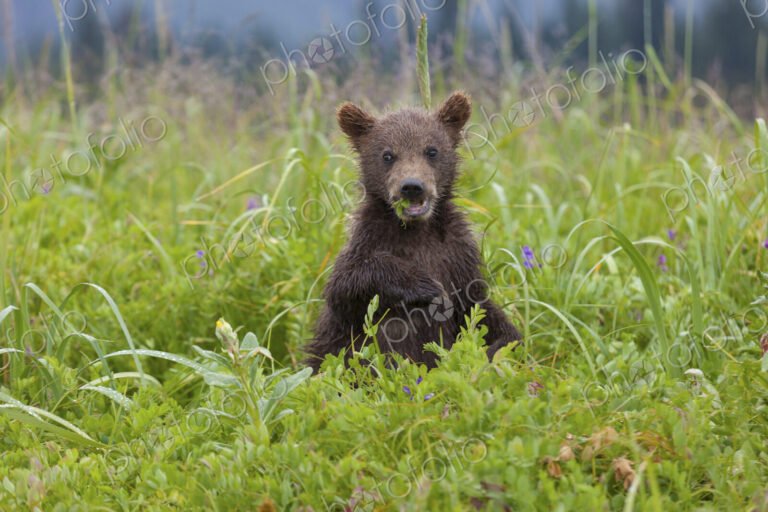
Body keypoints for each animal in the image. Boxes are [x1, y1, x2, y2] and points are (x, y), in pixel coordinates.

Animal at [305, 91, 522, 373]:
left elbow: (479, 308)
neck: (415, 229)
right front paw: (424, 285)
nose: (411, 186)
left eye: (431, 151)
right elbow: (344, 289)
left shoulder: (458, 254)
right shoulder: (367, 240)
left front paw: (498, 349)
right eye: (387, 155)